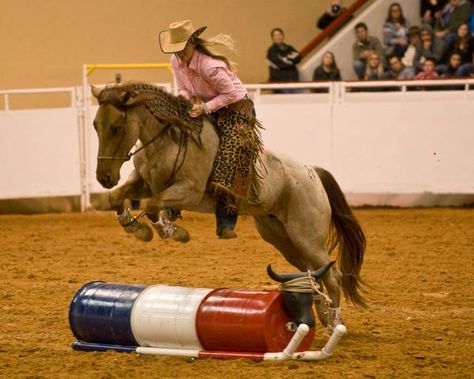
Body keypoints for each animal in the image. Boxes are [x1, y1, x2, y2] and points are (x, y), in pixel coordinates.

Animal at [91, 83, 366, 330]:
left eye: (116, 128)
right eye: (95, 125)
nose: (103, 177)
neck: (171, 140)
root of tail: (312, 172)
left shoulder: (188, 191)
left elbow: (152, 206)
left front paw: (171, 231)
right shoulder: (143, 183)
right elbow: (117, 197)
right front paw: (135, 227)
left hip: (307, 237)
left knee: (333, 276)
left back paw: (334, 322)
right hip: (281, 237)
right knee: (312, 273)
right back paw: (322, 314)